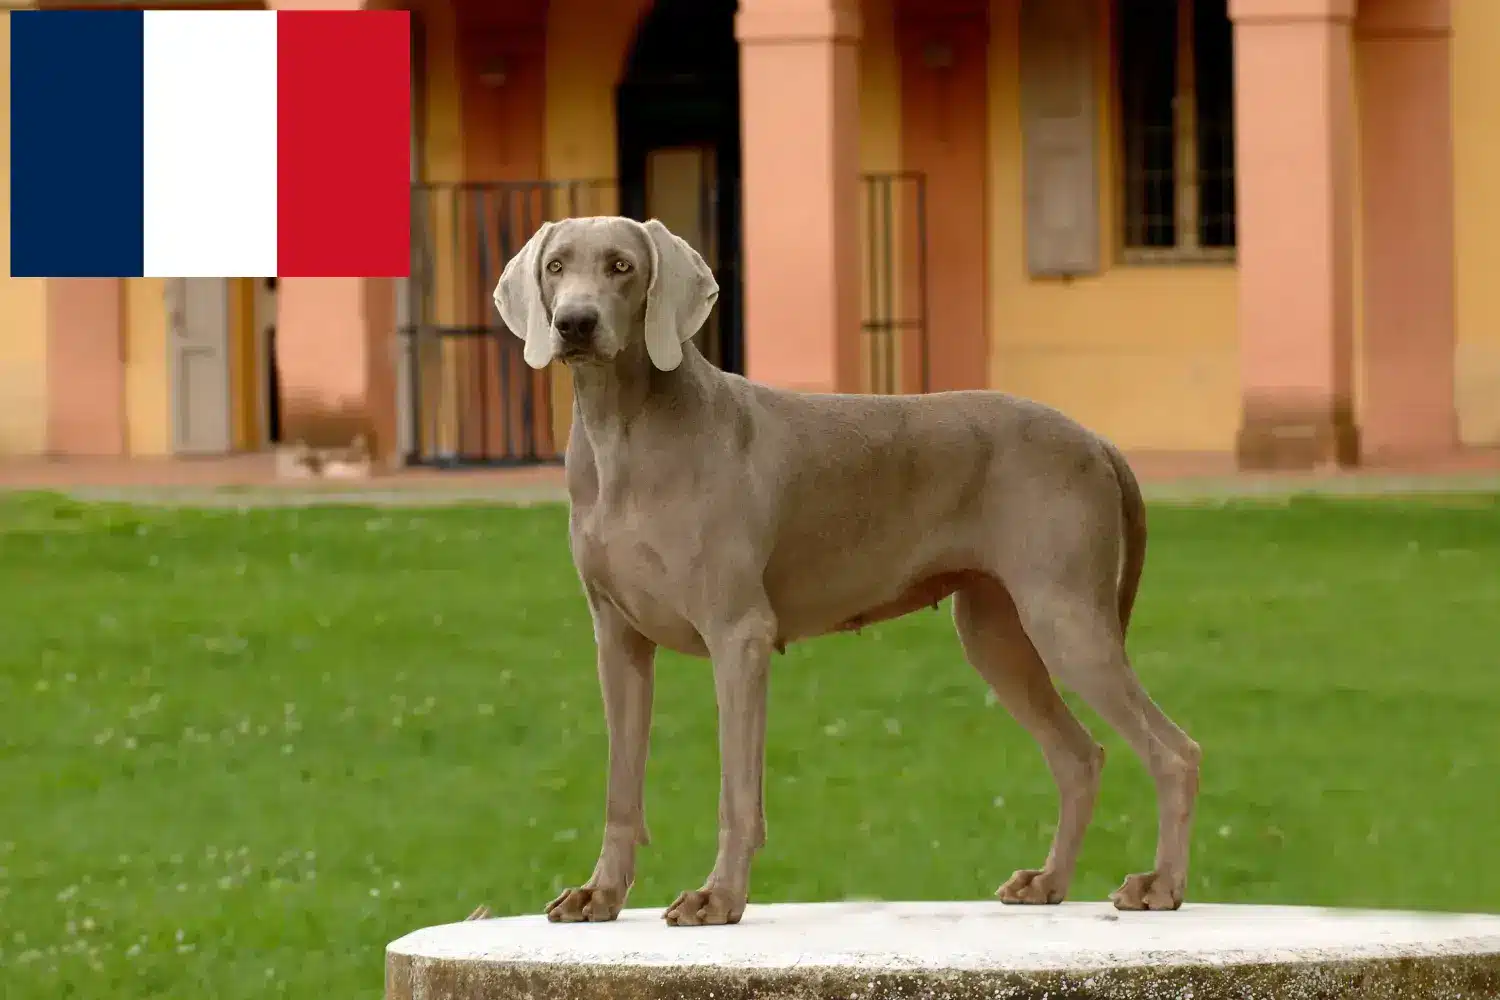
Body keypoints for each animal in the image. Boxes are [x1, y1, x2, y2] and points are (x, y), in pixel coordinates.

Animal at [486, 215, 1200, 929]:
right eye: (555, 266)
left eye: (622, 266)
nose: (575, 323)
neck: (625, 434)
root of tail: (1096, 440)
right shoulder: (618, 640)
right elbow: (621, 787)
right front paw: (600, 893)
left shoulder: (738, 635)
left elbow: (737, 791)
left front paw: (720, 897)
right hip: (995, 632)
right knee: (1079, 757)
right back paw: (1049, 881)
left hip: (1064, 615)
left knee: (1174, 751)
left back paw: (1160, 884)